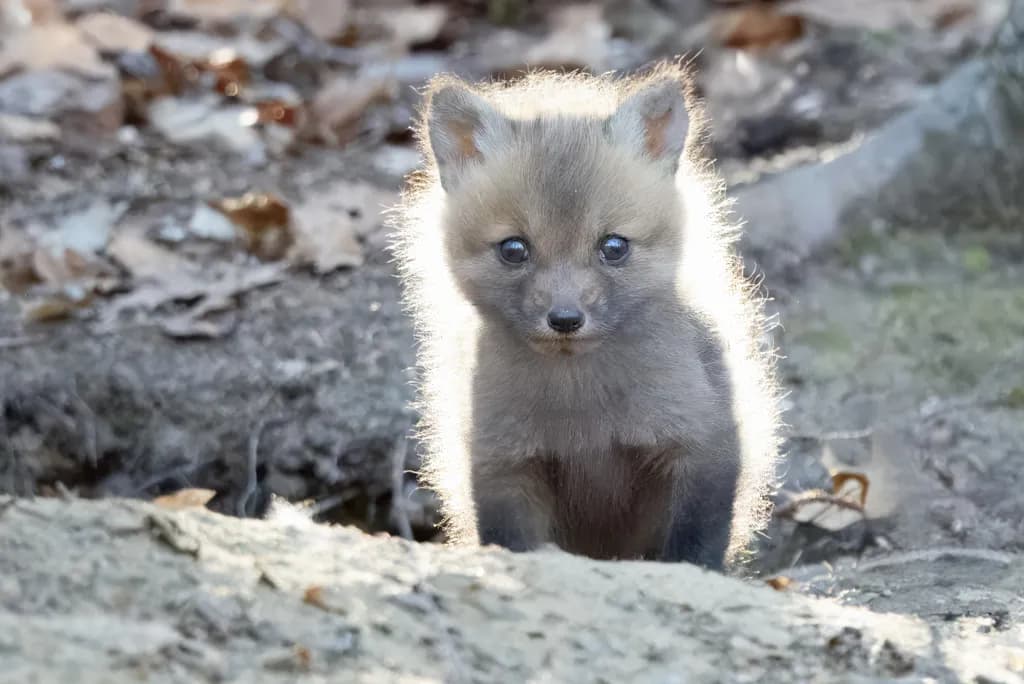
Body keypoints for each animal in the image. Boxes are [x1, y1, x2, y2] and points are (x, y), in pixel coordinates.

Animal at [389, 62, 781, 571]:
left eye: (613, 246)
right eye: (513, 249)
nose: (565, 319)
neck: (583, 412)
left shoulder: (701, 446)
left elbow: (693, 552)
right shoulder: (503, 467)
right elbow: (514, 546)